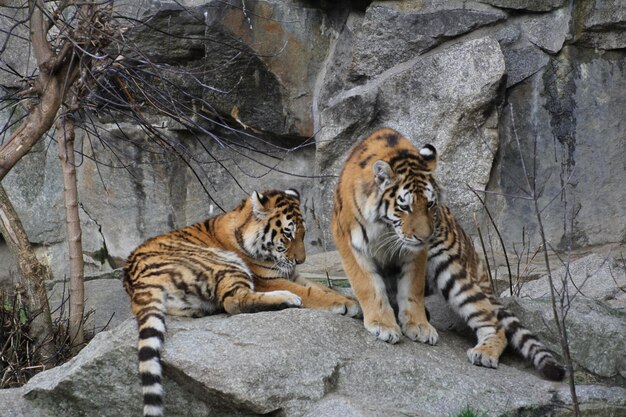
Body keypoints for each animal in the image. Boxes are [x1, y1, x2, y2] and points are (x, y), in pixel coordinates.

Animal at [122, 188, 358, 416]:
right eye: (287, 233)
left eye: (303, 233)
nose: (301, 260)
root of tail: (137, 281)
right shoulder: (268, 280)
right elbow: (311, 293)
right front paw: (347, 304)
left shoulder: (292, 274)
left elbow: (322, 287)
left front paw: (350, 298)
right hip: (224, 262)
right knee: (234, 301)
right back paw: (287, 299)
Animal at [330, 127, 564, 380]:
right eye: (404, 207)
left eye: (430, 204)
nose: (424, 237)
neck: (386, 228)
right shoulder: (350, 242)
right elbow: (369, 287)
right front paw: (384, 324)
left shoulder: (417, 254)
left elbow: (412, 290)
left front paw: (419, 326)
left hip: (450, 266)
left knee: (494, 323)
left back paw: (484, 353)